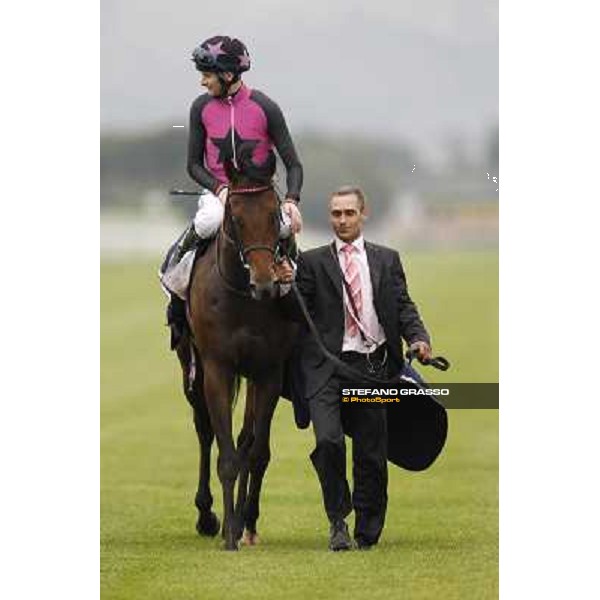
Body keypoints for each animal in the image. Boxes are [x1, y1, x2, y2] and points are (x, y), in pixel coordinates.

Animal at [175, 159, 296, 548]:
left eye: (275, 215)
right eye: (236, 218)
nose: (265, 283)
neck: (243, 299)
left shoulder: (269, 370)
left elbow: (256, 452)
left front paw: (244, 521)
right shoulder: (217, 366)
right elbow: (225, 453)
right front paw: (227, 531)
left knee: (245, 438)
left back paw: (244, 520)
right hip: (191, 365)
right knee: (204, 429)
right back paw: (207, 516)